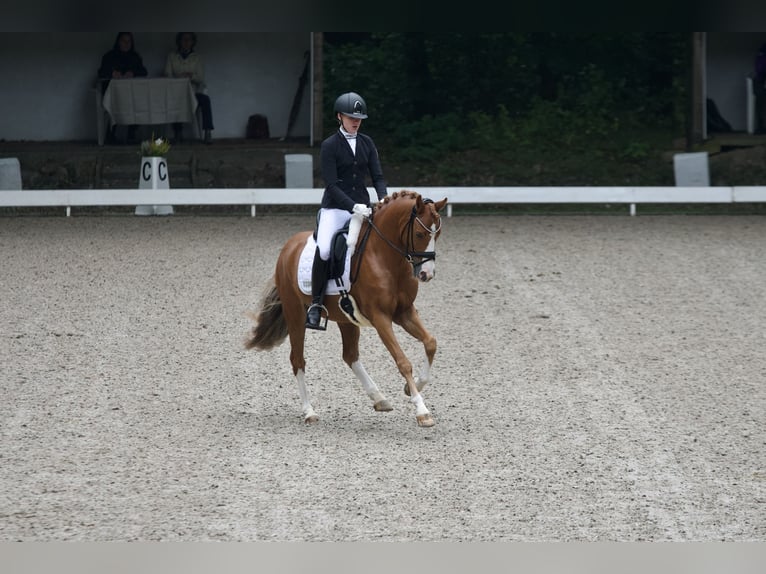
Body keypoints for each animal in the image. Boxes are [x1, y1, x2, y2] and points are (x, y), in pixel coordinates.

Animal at [246, 191, 450, 430]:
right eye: (419, 234)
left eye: (438, 234)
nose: (427, 274)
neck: (385, 257)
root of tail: (289, 246)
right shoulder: (381, 318)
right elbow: (403, 362)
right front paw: (422, 411)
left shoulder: (405, 312)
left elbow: (431, 343)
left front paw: (412, 387)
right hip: (295, 313)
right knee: (298, 359)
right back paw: (309, 412)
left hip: (346, 319)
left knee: (350, 355)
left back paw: (379, 398)